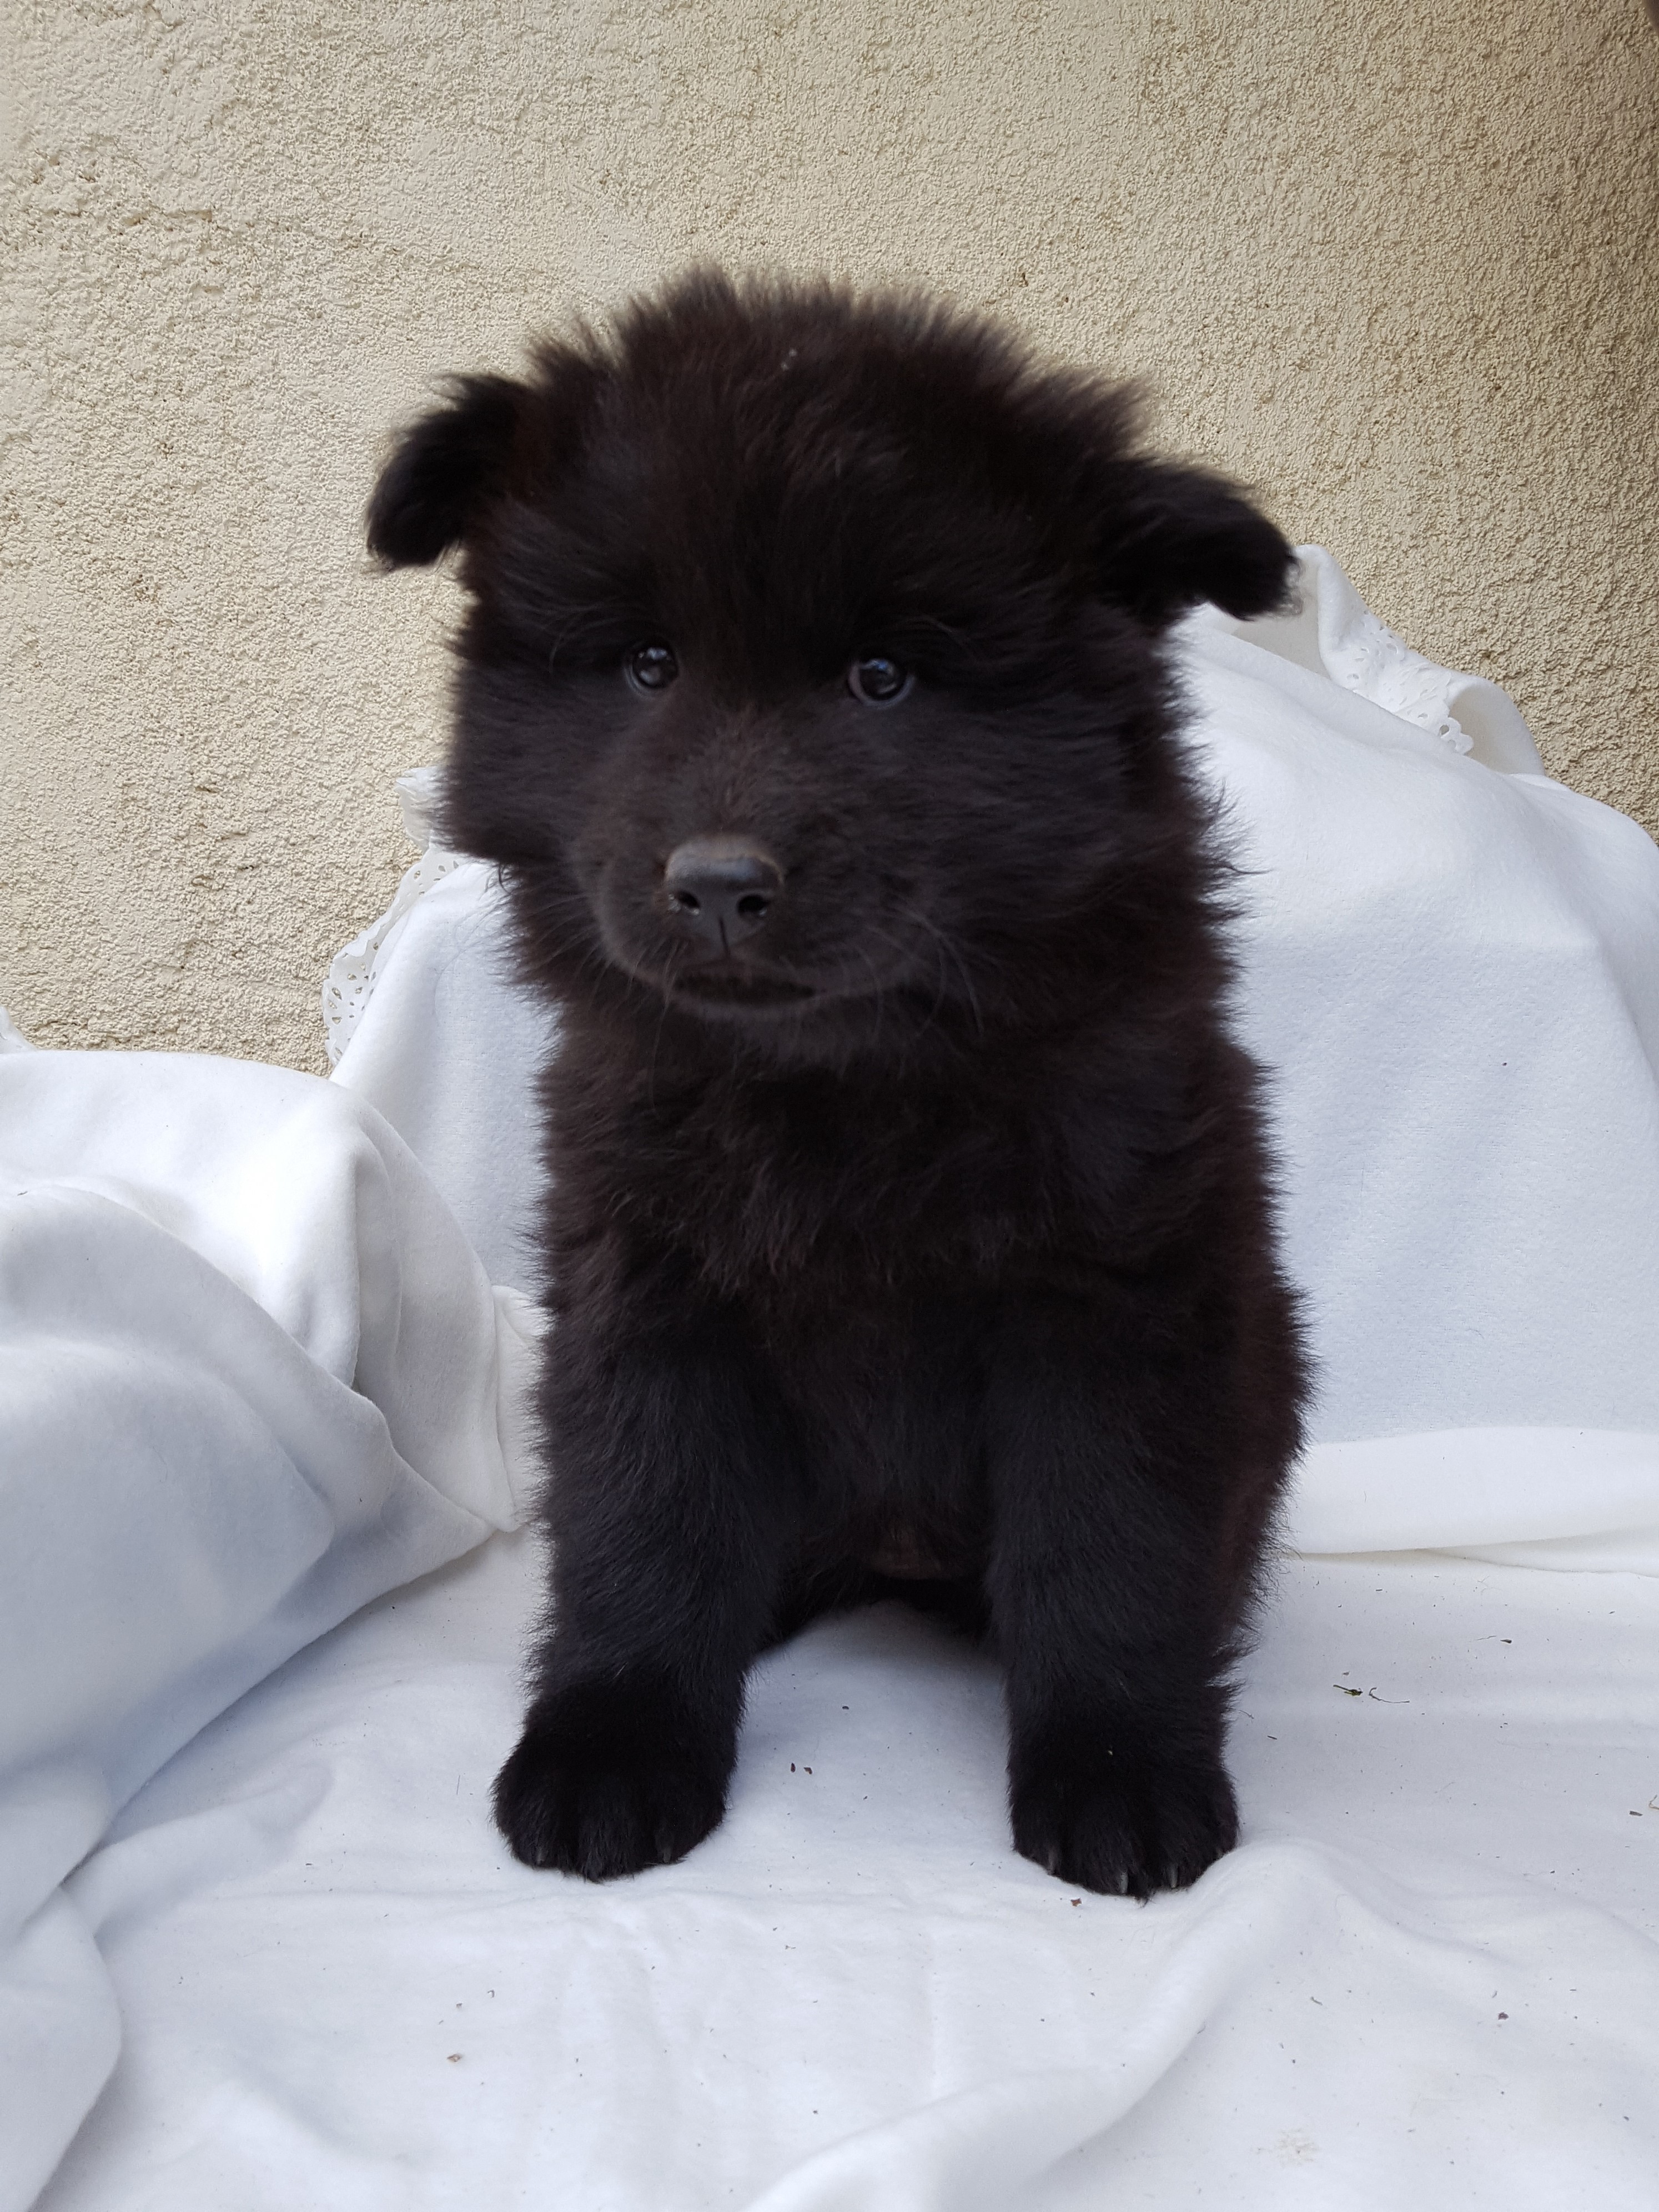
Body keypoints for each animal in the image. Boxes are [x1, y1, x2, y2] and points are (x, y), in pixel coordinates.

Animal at [367, 271, 1309, 1898]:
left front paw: (1118, 1772)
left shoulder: (1115, 1296)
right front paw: (613, 1743)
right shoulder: (646, 1284)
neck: (844, 1082)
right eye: (647, 665)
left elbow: (1106, 1545)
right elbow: (646, 1525)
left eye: (884, 678)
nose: (716, 886)